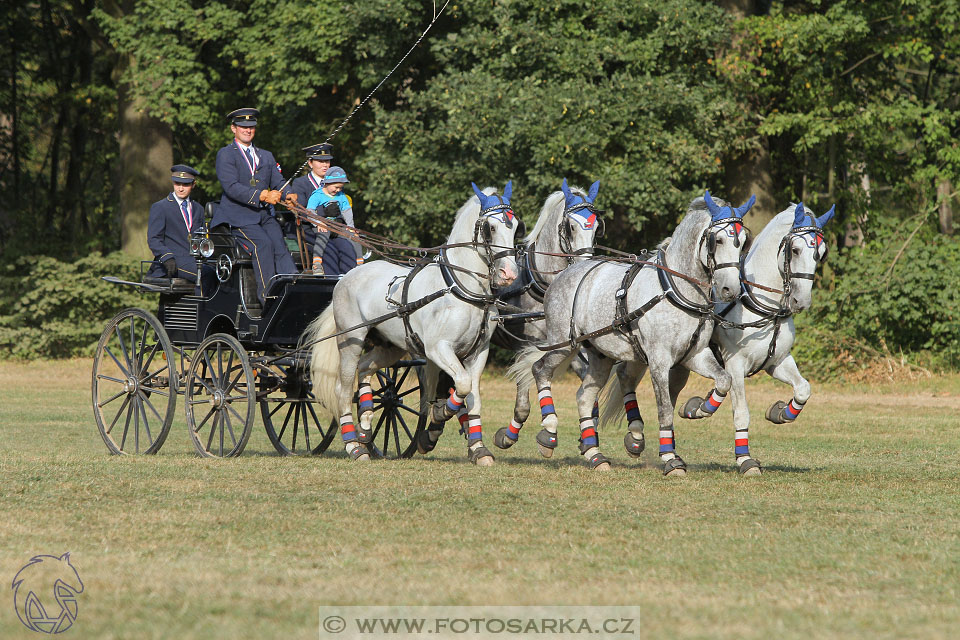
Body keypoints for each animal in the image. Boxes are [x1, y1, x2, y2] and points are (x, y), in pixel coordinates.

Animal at [306, 182, 520, 462]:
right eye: (490, 227)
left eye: (515, 226)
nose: (509, 274)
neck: (461, 289)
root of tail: (346, 276)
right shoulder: (437, 349)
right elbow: (461, 386)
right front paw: (441, 412)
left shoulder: (478, 352)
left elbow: (473, 396)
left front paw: (478, 449)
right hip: (350, 341)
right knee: (342, 389)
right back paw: (353, 445)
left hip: (390, 347)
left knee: (365, 368)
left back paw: (365, 427)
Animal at [492, 178, 604, 450]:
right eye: (570, 227)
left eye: (597, 227)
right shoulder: (524, 345)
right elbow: (523, 402)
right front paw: (510, 435)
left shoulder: (567, 343)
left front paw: (589, 432)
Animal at [516, 194, 752, 476]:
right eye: (718, 240)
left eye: (742, 242)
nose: (730, 290)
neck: (676, 289)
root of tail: (564, 274)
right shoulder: (659, 361)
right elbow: (664, 409)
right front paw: (670, 458)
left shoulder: (694, 355)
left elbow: (724, 380)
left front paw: (698, 409)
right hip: (564, 344)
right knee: (540, 369)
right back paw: (549, 433)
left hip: (600, 355)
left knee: (584, 396)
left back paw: (595, 456)